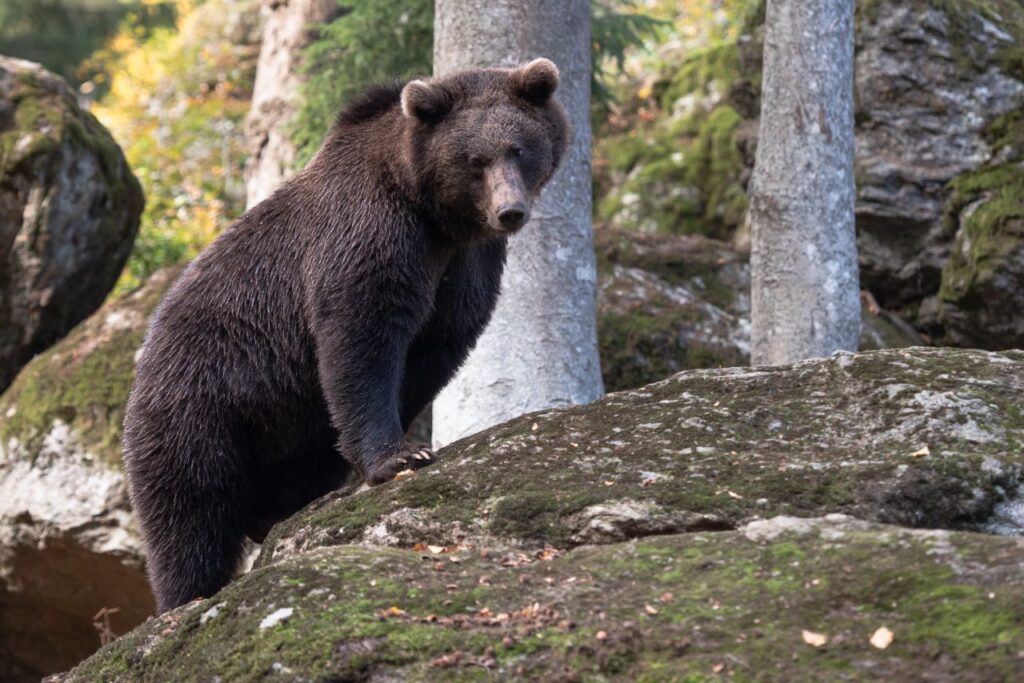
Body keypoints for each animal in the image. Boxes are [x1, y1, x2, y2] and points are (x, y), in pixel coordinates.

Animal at [122, 58, 570, 613]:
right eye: (474, 159)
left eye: (519, 149)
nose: (510, 211)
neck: (430, 211)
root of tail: (145, 353)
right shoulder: (370, 234)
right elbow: (362, 334)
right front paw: (400, 456)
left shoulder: (465, 265)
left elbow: (438, 343)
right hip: (203, 397)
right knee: (190, 505)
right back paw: (187, 594)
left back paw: (276, 512)